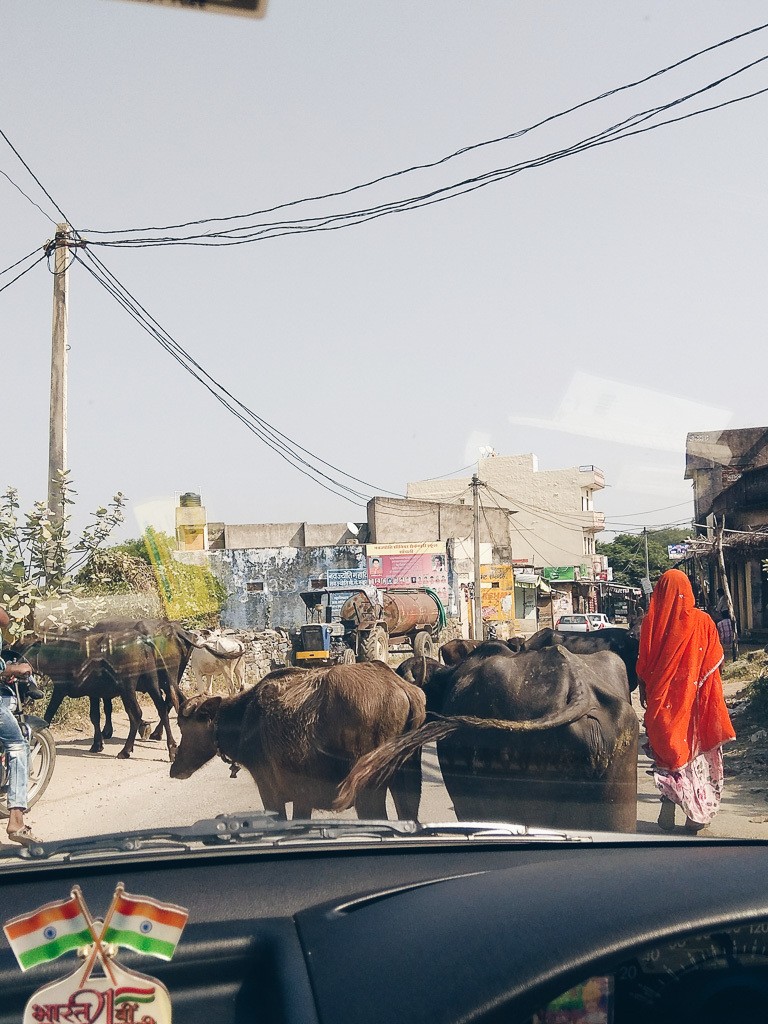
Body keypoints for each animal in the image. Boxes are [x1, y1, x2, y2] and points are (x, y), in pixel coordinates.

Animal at [168, 659, 430, 819]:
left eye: (183, 725)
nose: (175, 769)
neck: (242, 722)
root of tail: (407, 691)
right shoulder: (301, 797)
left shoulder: (270, 792)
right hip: (408, 778)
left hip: (368, 789)